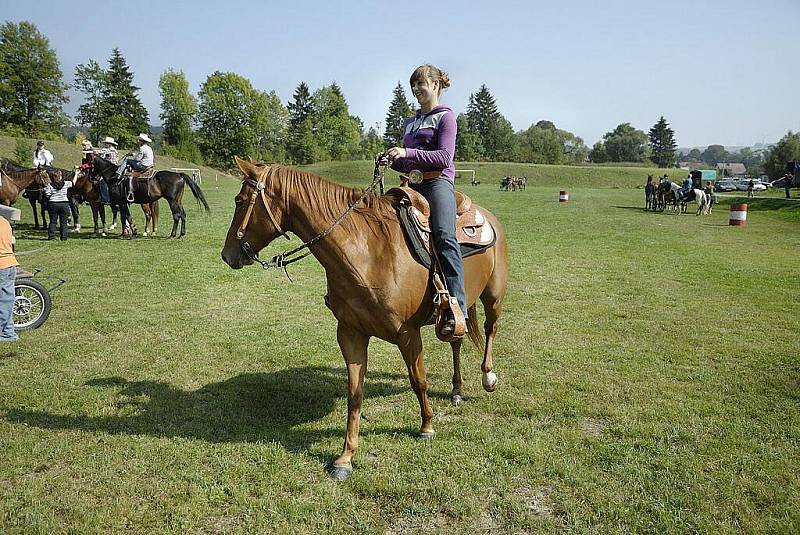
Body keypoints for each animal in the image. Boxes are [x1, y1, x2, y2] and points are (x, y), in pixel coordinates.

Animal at [220, 157, 506, 484]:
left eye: (239, 201)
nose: (227, 255)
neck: (368, 253)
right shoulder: (350, 333)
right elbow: (354, 394)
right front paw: (345, 458)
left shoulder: (408, 334)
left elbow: (418, 381)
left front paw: (427, 426)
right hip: (454, 313)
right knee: (456, 340)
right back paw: (457, 390)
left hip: (493, 297)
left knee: (490, 330)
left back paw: (488, 377)